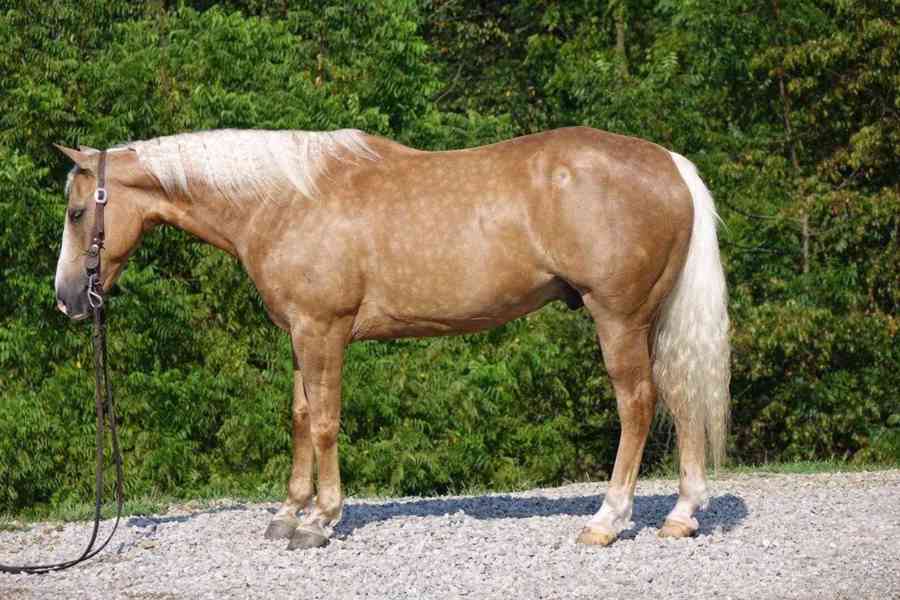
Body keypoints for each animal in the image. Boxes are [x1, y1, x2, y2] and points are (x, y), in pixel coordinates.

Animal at [54, 126, 730, 549]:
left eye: (77, 212)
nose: (67, 300)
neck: (284, 201)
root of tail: (670, 165)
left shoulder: (323, 331)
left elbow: (326, 423)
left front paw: (321, 521)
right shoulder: (300, 333)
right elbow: (301, 418)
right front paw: (287, 514)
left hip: (617, 318)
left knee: (638, 405)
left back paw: (607, 520)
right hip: (653, 320)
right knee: (680, 398)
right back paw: (681, 515)